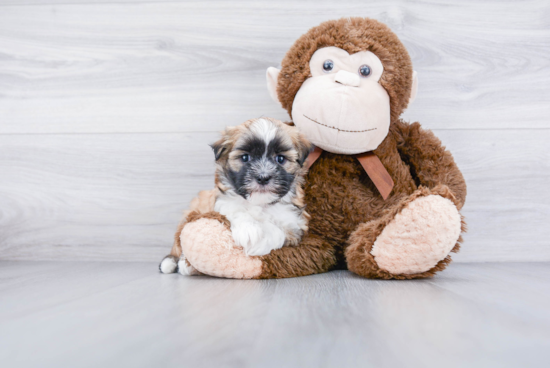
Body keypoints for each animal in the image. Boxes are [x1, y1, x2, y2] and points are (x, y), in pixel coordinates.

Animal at [162, 117, 312, 274]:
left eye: (280, 159)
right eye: (245, 157)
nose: (263, 177)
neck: (261, 203)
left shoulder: (294, 224)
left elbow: (279, 231)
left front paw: (258, 244)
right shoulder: (222, 202)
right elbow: (236, 209)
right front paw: (249, 231)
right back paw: (177, 263)